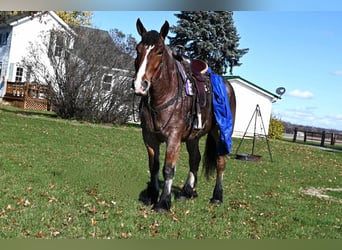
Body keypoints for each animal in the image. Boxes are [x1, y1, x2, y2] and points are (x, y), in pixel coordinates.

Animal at [132, 18, 236, 212]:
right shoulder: (149, 138)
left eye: (159, 51)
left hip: (220, 132)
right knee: (195, 159)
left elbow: (168, 169)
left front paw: (163, 202)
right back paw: (188, 191)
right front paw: (152, 195)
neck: (164, 95)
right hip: (192, 137)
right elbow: (154, 166)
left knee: (220, 162)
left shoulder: (173, 138)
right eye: (137, 49)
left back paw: (217, 196)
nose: (139, 85)